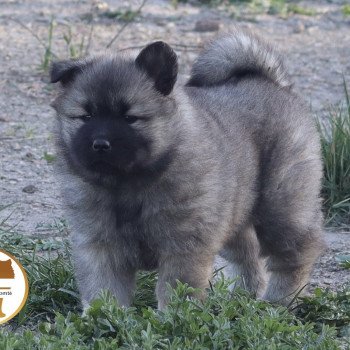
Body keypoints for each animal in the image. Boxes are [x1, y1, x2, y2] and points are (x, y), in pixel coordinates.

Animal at [50, 28, 324, 310]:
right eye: (86, 117)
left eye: (129, 118)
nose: (100, 144)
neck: (127, 184)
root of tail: (271, 81)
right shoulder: (101, 246)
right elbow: (104, 288)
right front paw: (103, 315)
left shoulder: (183, 246)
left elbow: (175, 288)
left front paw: (173, 315)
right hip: (234, 211)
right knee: (247, 256)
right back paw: (241, 298)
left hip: (280, 208)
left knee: (297, 252)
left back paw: (280, 300)